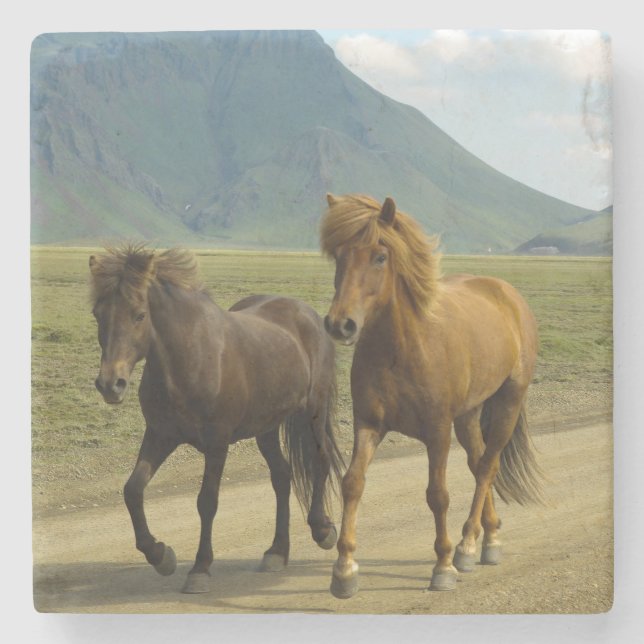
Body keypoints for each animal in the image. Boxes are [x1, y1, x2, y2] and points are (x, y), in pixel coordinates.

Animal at [89, 245, 344, 594]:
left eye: (139, 314)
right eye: (97, 315)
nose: (110, 384)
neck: (189, 358)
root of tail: (308, 314)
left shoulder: (217, 444)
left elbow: (206, 502)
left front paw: (200, 568)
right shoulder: (159, 435)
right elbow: (133, 490)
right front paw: (160, 555)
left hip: (313, 413)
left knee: (320, 460)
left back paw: (322, 530)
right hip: (266, 427)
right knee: (281, 476)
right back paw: (277, 552)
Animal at [320, 193, 543, 598]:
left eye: (380, 256)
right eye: (339, 255)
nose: (340, 324)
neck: (402, 348)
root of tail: (506, 293)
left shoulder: (437, 432)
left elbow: (437, 495)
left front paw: (443, 565)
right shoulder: (368, 425)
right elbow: (352, 483)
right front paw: (344, 569)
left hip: (508, 401)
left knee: (488, 466)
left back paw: (468, 545)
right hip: (468, 415)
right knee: (478, 463)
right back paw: (489, 539)